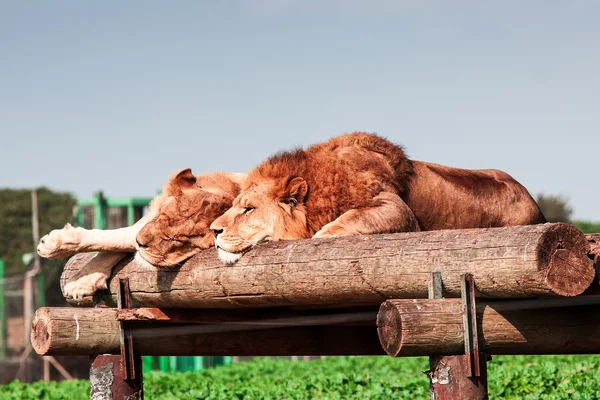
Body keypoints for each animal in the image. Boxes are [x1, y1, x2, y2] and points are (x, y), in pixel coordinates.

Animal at [37, 169, 245, 300]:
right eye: (162, 216)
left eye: (178, 239)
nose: (140, 242)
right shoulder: (147, 220)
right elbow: (115, 239)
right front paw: (54, 247)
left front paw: (80, 282)